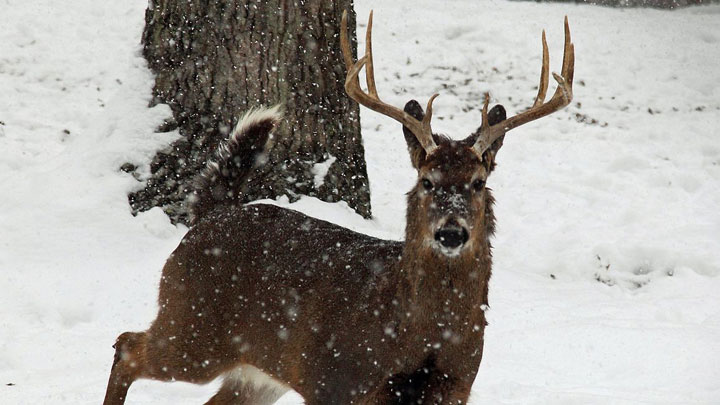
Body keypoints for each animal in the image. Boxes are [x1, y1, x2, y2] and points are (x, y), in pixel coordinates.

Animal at [103, 10, 574, 405]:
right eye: (427, 181)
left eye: (478, 183)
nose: (451, 232)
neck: (417, 338)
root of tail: (212, 214)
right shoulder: (332, 381)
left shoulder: (455, 389)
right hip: (194, 327)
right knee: (126, 345)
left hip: (258, 370)